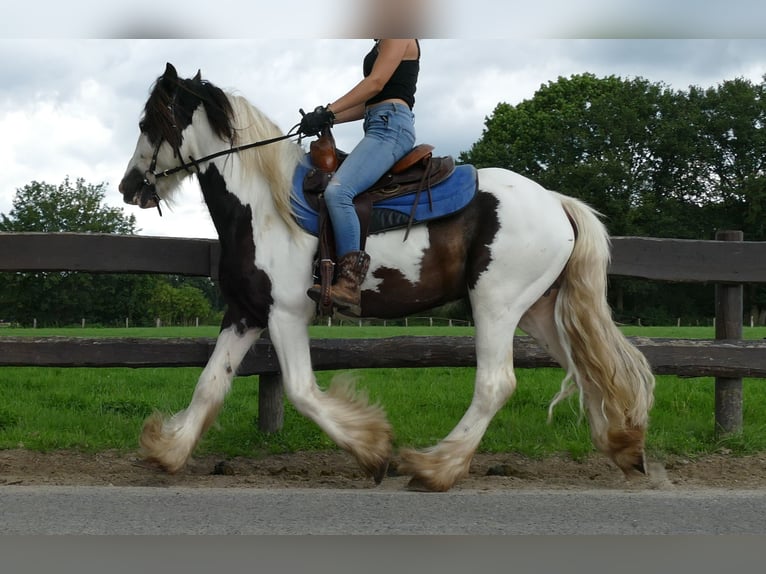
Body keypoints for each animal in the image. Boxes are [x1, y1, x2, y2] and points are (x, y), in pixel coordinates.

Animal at [118, 64, 656, 496]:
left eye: (147, 123)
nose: (128, 187)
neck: (265, 207)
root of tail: (557, 203)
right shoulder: (246, 313)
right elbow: (210, 385)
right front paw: (167, 452)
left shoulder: (286, 314)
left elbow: (301, 391)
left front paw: (373, 450)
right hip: (538, 310)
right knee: (587, 369)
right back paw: (624, 447)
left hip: (495, 304)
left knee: (496, 384)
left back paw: (436, 468)